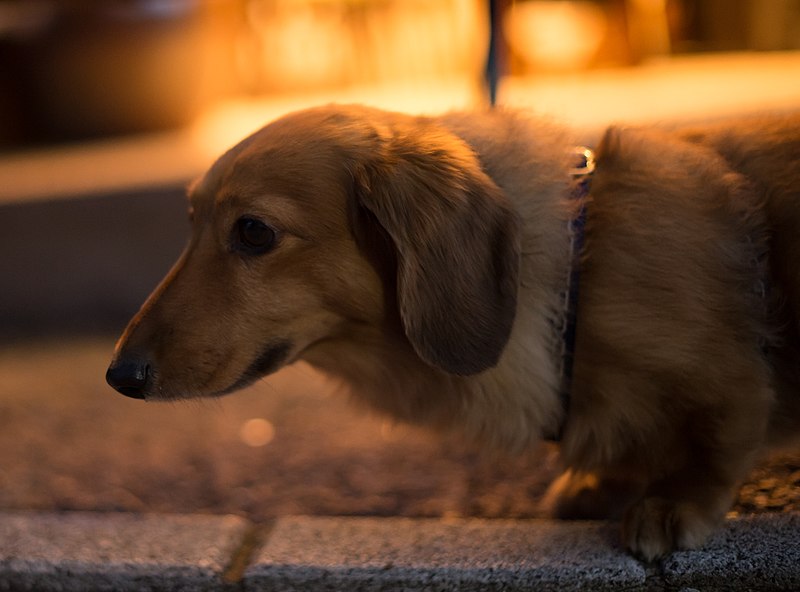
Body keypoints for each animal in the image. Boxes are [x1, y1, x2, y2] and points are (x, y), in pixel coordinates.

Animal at [106, 105, 800, 560]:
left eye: (254, 231)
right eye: (190, 221)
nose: (119, 376)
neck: (578, 276)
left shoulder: (732, 383)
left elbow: (719, 438)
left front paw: (672, 500)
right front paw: (602, 481)